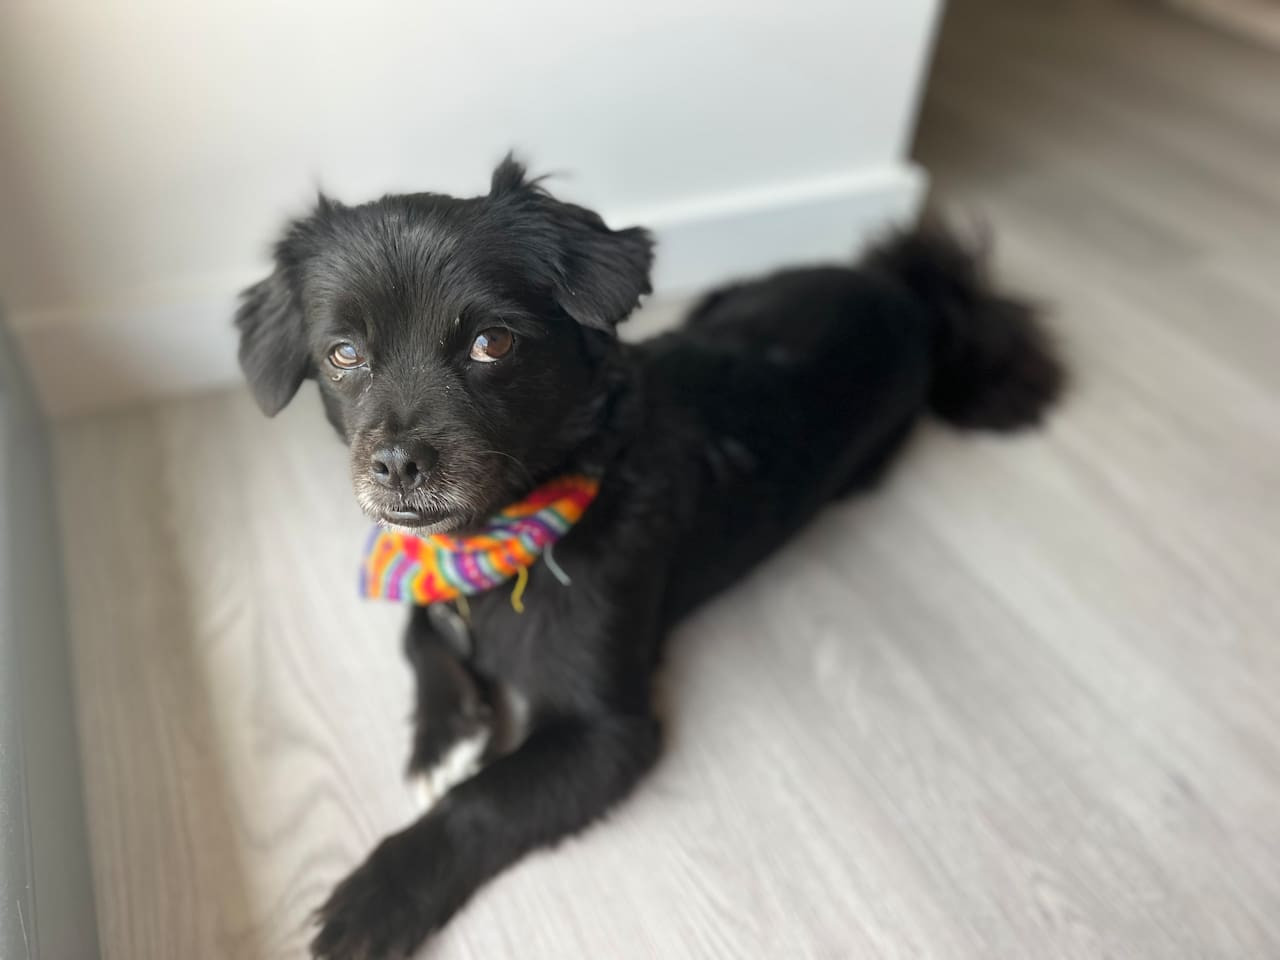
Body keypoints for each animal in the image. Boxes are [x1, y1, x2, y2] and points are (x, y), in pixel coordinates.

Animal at [235, 154, 1063, 958]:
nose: (399, 463)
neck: (496, 542)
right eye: (343, 354)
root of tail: (903, 292)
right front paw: (444, 737)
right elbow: (418, 630)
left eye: (492, 342)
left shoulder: (606, 734)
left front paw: (377, 895)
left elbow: (484, 802)